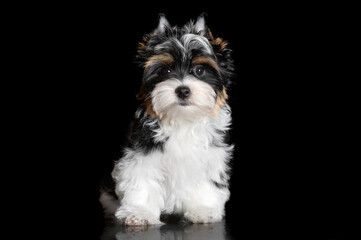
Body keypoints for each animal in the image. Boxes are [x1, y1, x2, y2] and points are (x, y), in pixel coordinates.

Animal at [99, 13, 233, 225]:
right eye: (165, 71)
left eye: (200, 71)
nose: (183, 90)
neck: (181, 119)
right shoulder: (141, 154)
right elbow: (141, 178)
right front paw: (140, 212)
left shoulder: (211, 155)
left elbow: (206, 182)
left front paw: (203, 209)